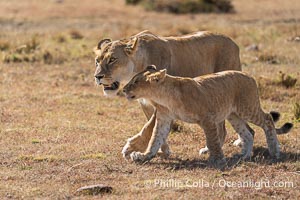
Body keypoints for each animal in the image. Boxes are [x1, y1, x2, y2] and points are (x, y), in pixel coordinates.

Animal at [122, 65, 292, 166]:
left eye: (135, 81)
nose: (123, 89)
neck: (163, 98)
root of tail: (249, 76)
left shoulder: (207, 118)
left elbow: (212, 140)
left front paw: (218, 159)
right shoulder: (164, 118)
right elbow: (155, 139)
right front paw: (144, 156)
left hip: (247, 108)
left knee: (268, 120)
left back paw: (274, 151)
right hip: (233, 115)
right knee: (248, 133)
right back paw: (244, 155)